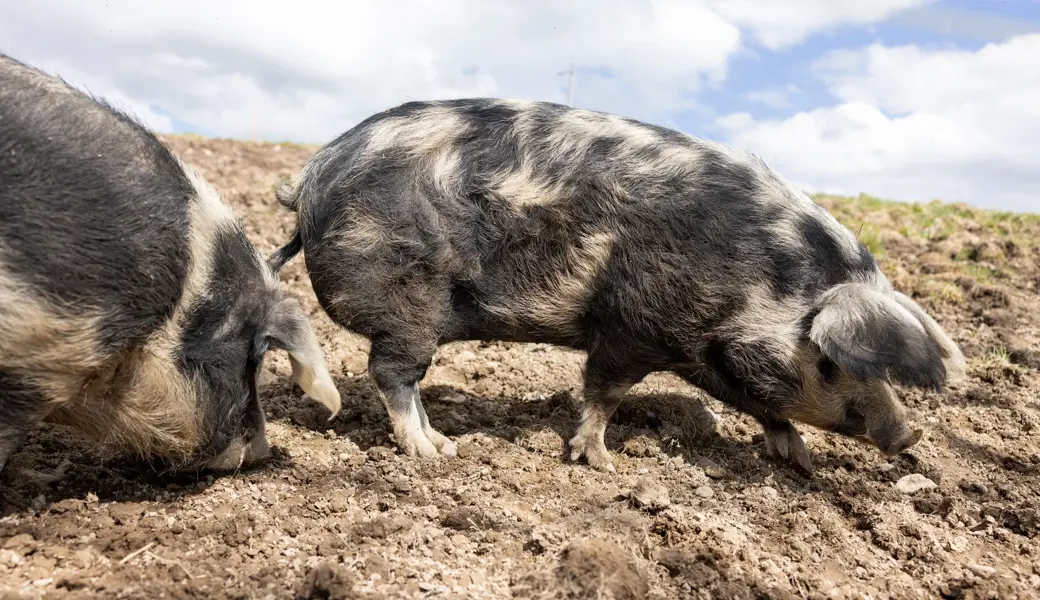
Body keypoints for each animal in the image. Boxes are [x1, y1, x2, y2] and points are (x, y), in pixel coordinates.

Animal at [267, 98, 966, 475]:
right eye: (828, 361)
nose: (910, 435)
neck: (758, 277)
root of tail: (311, 176)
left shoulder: (702, 351)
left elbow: (759, 401)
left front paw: (799, 459)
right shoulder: (634, 322)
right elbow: (603, 392)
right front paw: (602, 462)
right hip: (408, 301)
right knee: (392, 374)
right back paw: (438, 452)